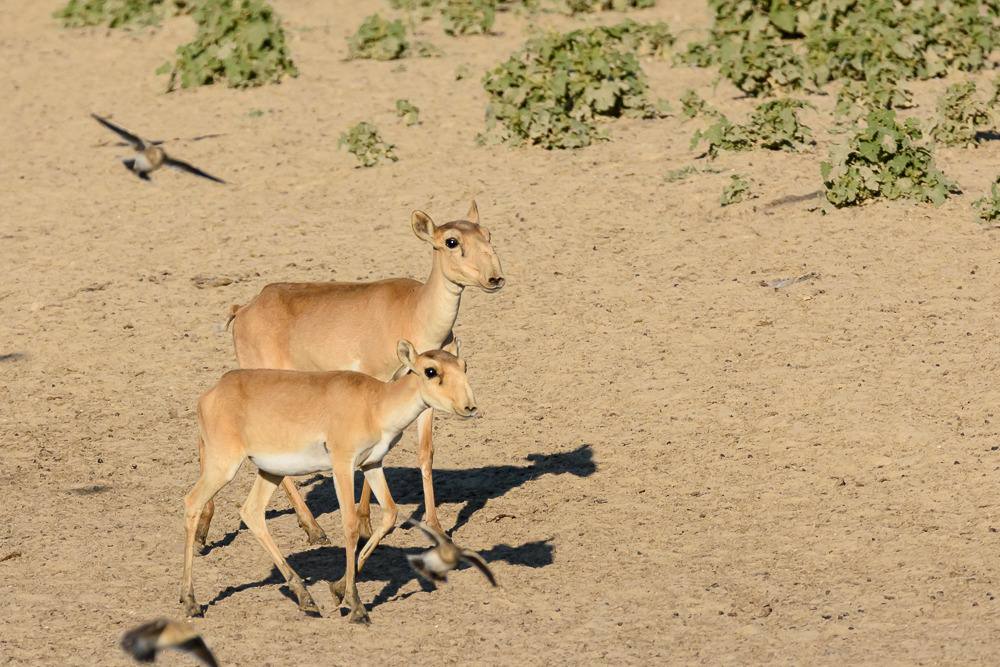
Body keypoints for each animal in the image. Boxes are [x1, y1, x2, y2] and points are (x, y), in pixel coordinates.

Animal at [180, 342, 476, 624]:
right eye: (430, 370)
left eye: (463, 365)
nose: (470, 407)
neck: (375, 404)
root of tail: (212, 393)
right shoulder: (343, 466)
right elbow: (350, 525)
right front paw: (356, 606)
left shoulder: (372, 464)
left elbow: (390, 514)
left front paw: (338, 589)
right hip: (224, 466)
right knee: (192, 502)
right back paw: (190, 602)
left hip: (270, 472)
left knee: (251, 511)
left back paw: (305, 598)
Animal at [203, 202, 504, 548]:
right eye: (451, 241)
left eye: (487, 234)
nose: (495, 277)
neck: (414, 310)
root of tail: (244, 308)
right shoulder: (379, 385)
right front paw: (363, 525)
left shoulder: (425, 396)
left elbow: (425, 453)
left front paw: (437, 529)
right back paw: (312, 528)